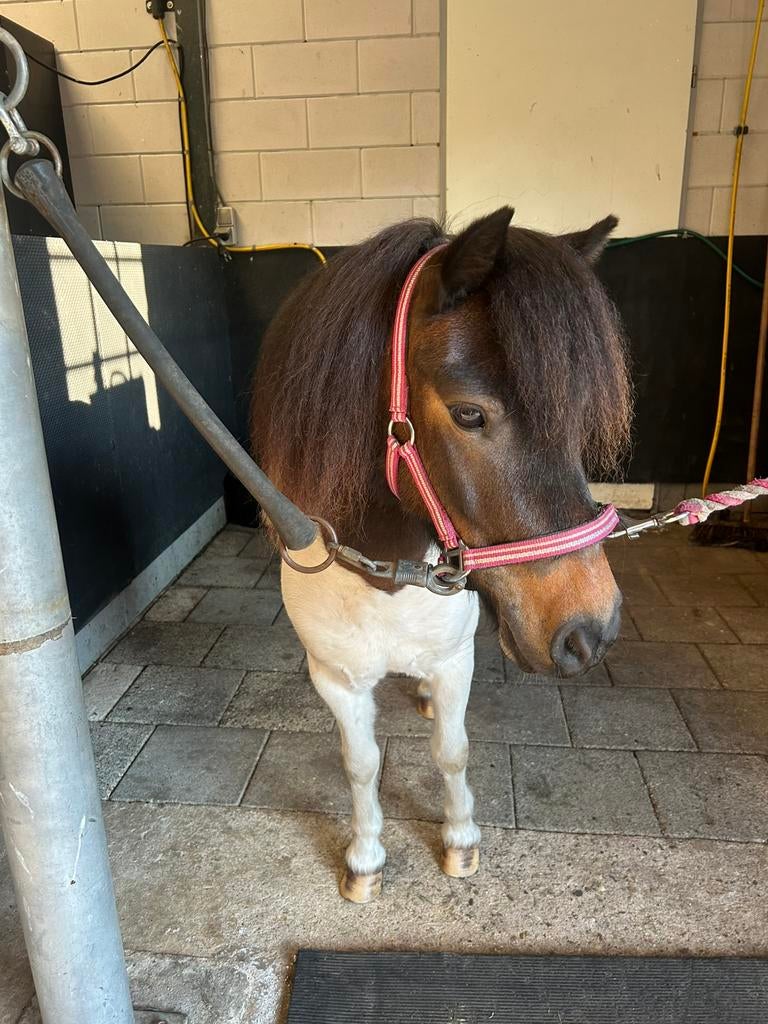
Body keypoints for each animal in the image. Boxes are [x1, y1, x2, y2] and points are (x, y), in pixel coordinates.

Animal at [251, 207, 631, 903]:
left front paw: (460, 840)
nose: (591, 632)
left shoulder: (457, 661)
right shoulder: (336, 679)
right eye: (469, 414)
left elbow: (451, 751)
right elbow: (360, 763)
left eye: (574, 417)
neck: (384, 571)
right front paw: (365, 859)